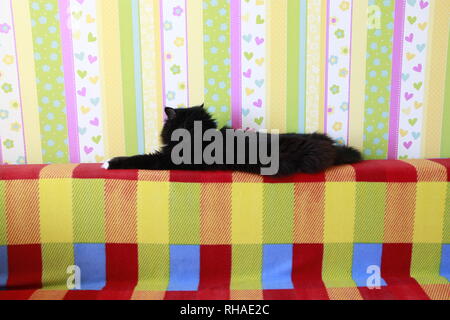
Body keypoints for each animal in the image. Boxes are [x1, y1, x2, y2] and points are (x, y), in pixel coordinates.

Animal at [103, 104, 362, 175]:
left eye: (195, 126)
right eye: (183, 128)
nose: (190, 134)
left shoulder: (169, 160)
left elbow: (140, 158)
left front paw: (109, 162)